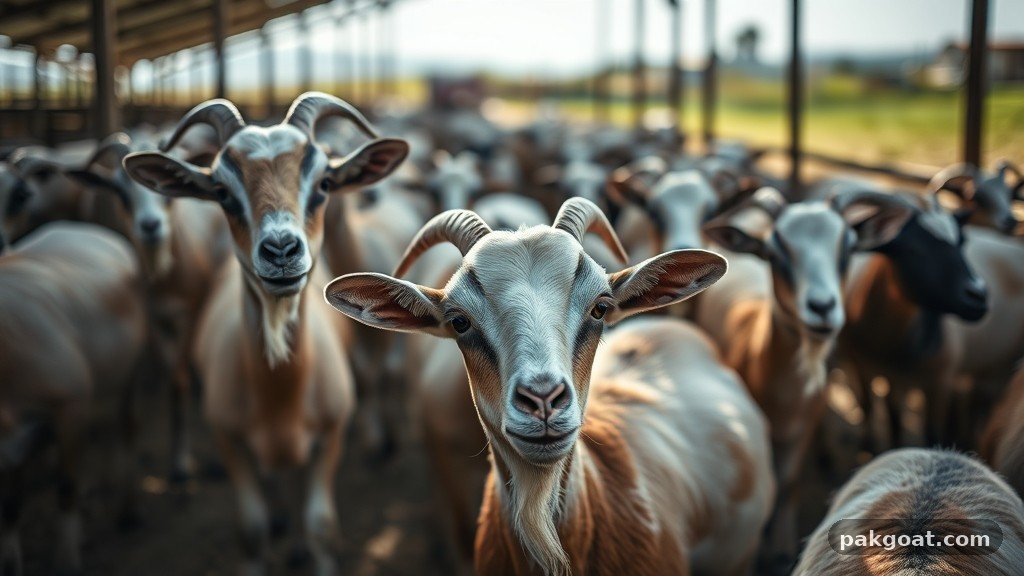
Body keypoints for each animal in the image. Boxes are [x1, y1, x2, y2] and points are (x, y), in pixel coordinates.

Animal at [0, 223, 147, 576]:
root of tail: (79, 227)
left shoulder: (72, 403)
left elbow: (66, 485)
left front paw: (66, 562)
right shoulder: (12, 444)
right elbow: (9, 503)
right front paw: (10, 564)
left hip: (132, 370)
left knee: (128, 426)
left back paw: (128, 513)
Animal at [63, 133, 231, 481]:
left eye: (165, 192)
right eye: (119, 190)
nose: (150, 226)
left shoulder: (191, 310)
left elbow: (179, 379)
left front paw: (181, 464)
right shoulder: (153, 319)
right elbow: (169, 374)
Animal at [122, 93, 407, 574]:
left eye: (325, 183)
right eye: (221, 192)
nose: (281, 250)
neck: (281, 397)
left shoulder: (331, 437)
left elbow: (320, 527)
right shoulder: (229, 441)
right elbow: (251, 533)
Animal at [696, 187, 914, 566]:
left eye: (848, 247)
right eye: (773, 252)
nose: (822, 307)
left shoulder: (804, 428)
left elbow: (790, 481)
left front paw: (783, 548)